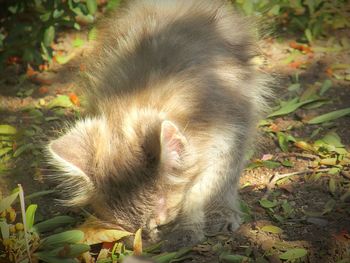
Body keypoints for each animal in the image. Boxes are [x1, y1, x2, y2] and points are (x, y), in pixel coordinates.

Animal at [47, 0, 270, 248]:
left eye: (160, 224)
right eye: (126, 230)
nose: (147, 240)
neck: (142, 96)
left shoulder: (231, 131)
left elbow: (204, 189)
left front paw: (195, 224)